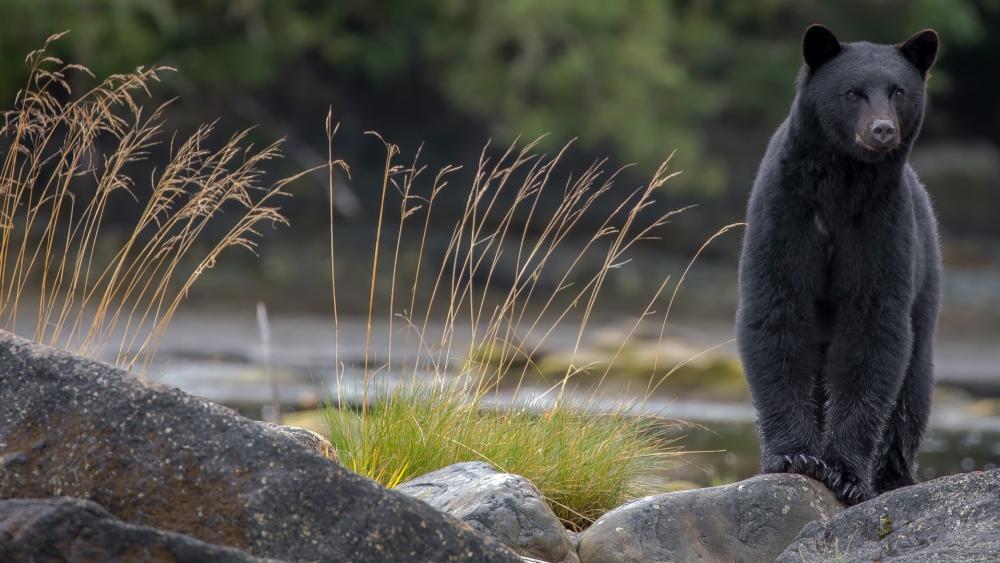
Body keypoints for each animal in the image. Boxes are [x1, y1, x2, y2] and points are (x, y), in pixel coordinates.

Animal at [736, 25, 942, 506]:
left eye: (898, 91)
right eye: (853, 92)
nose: (882, 129)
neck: (842, 184)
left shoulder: (880, 225)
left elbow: (873, 327)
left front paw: (846, 472)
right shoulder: (785, 214)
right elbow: (777, 311)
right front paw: (795, 456)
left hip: (926, 277)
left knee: (913, 386)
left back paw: (893, 475)